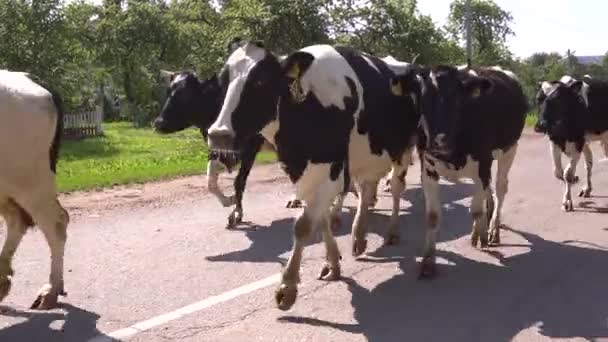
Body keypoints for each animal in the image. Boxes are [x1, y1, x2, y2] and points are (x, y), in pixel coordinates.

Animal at [207, 40, 420, 310]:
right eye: (223, 80)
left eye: (260, 81)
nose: (218, 134)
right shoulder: (309, 172)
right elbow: (322, 219)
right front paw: (333, 263)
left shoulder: (330, 170)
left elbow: (303, 225)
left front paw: (287, 286)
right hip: (366, 156)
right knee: (366, 189)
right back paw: (359, 236)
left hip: (402, 149)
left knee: (396, 188)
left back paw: (391, 231)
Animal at [394, 65, 528, 278]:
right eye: (423, 99)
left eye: (457, 100)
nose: (439, 141)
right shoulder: (428, 169)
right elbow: (432, 216)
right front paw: (428, 261)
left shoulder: (483, 163)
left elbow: (475, 209)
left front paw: (482, 234)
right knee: (489, 190)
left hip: (510, 149)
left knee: (500, 188)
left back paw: (493, 230)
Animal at [536, 73, 604, 210]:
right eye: (538, 99)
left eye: (558, 99)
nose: (540, 125)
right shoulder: (554, 141)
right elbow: (558, 173)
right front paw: (574, 181)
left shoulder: (578, 142)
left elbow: (567, 173)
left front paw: (567, 202)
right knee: (589, 161)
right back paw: (587, 189)